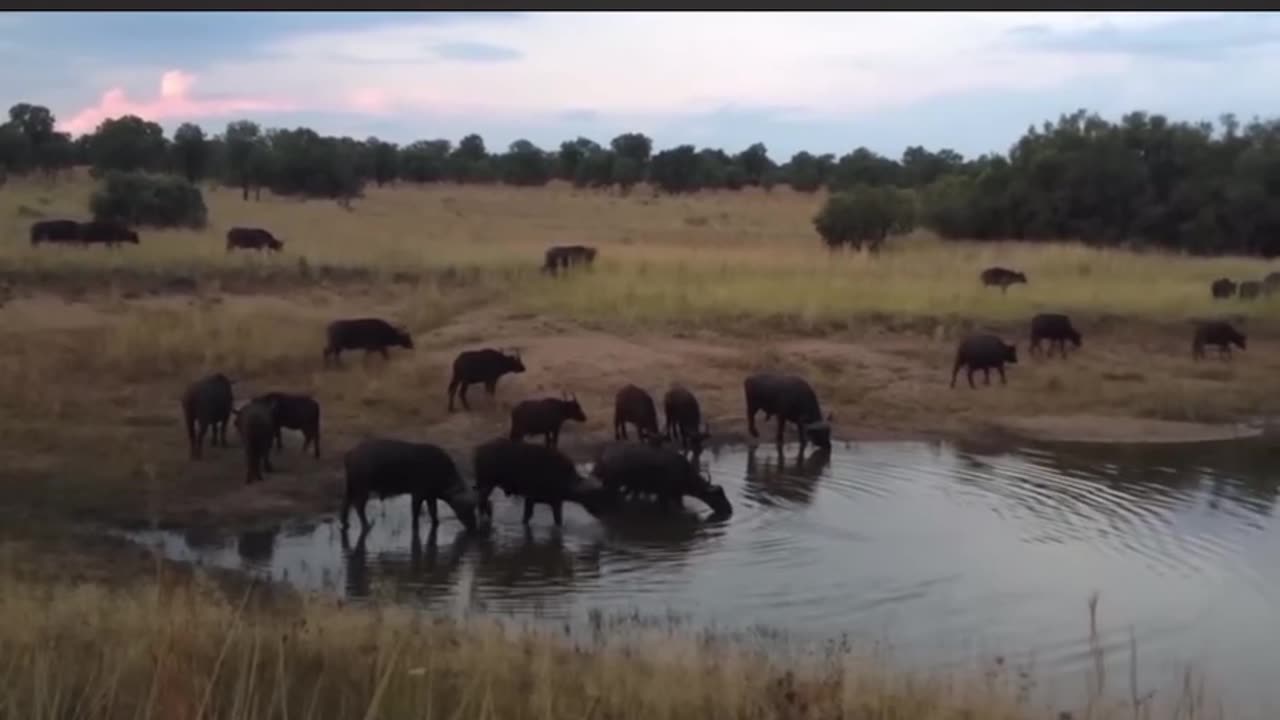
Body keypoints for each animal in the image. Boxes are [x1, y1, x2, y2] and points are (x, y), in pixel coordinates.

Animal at [340, 435, 481, 530]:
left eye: (474, 507)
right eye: (465, 507)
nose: (473, 526)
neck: (439, 470)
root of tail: (350, 453)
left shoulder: (430, 496)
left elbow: (433, 512)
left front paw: (436, 523)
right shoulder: (417, 495)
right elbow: (415, 513)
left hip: (351, 486)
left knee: (346, 503)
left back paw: (345, 523)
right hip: (362, 488)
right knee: (358, 506)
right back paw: (366, 525)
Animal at [473, 435, 611, 525]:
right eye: (595, 497)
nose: (604, 515)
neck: (564, 479)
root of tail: (479, 449)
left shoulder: (556, 503)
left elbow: (558, 521)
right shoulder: (530, 498)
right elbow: (526, 518)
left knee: (484, 502)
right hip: (487, 484)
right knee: (481, 502)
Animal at [588, 440, 732, 512]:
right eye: (717, 496)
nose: (730, 509)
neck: (685, 473)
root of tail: (603, 456)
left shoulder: (676, 495)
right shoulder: (664, 495)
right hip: (612, 484)